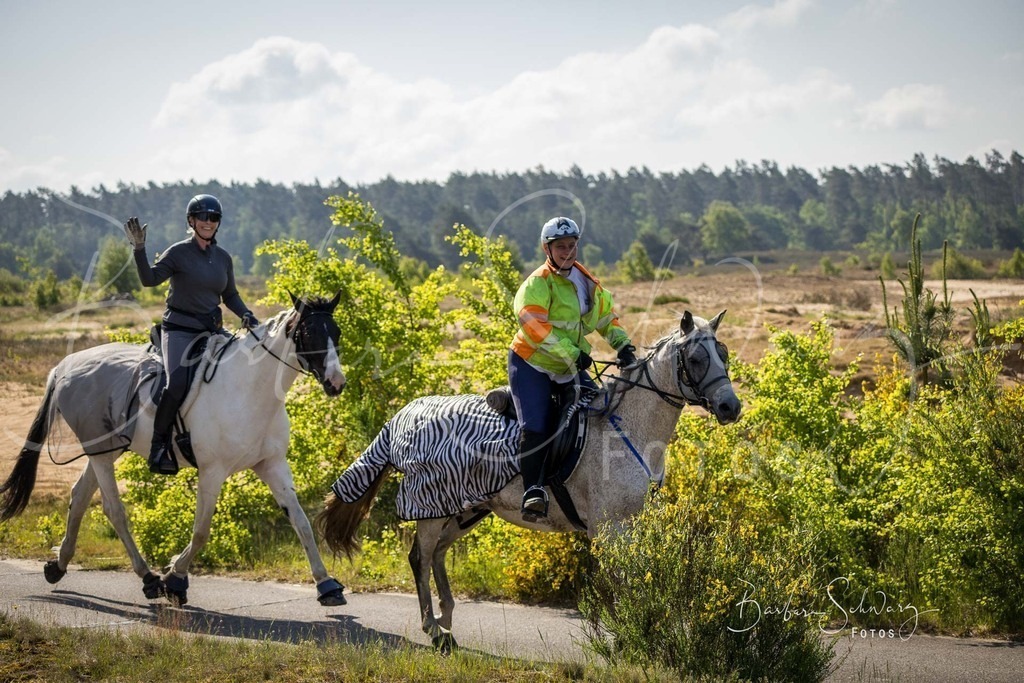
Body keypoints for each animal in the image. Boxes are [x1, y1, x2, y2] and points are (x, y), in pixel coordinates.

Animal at [0, 293, 348, 607]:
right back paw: (149, 579)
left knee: (80, 496)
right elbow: (202, 531)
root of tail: (65, 365)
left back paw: (58, 565)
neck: (250, 387)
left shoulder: (272, 464)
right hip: (99, 450)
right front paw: (175, 578)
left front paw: (326, 584)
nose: (336, 382)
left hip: (107, 450)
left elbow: (301, 522)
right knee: (114, 510)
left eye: (337, 332)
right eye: (310, 334)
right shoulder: (212, 471)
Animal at [316, 310, 741, 652]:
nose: (730, 407)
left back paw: (447, 622)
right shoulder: (611, 528)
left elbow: (635, 577)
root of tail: (406, 414)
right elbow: (620, 581)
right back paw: (434, 632)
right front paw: (628, 636)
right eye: (697, 358)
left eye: (724, 354)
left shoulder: (630, 526)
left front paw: (645, 631)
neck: (625, 431)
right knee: (420, 558)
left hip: (466, 508)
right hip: (430, 508)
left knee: (436, 555)